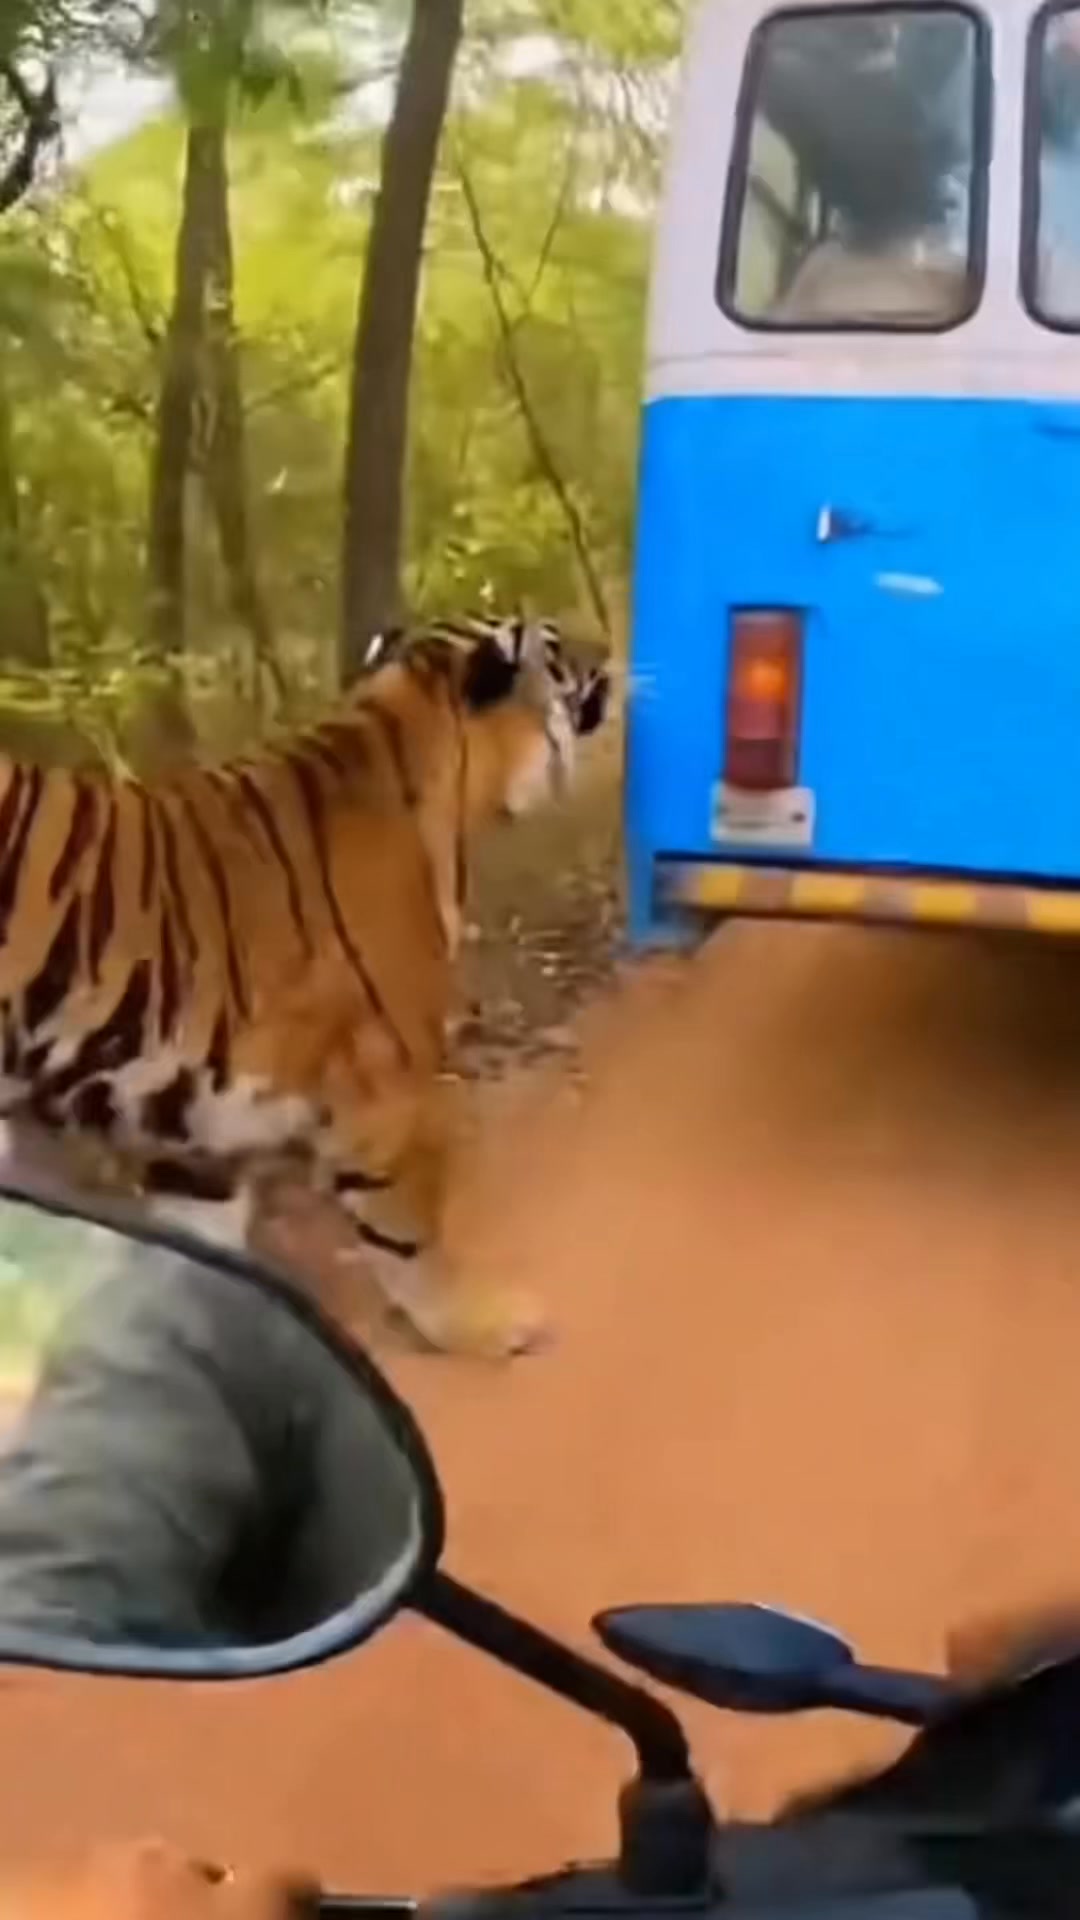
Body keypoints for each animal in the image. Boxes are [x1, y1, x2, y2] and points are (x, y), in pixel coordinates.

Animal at [0, 613, 609, 1358]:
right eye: (557, 648)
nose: (609, 650)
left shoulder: (198, 1127)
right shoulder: (386, 1093)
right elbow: (407, 1235)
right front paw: (478, 1323)